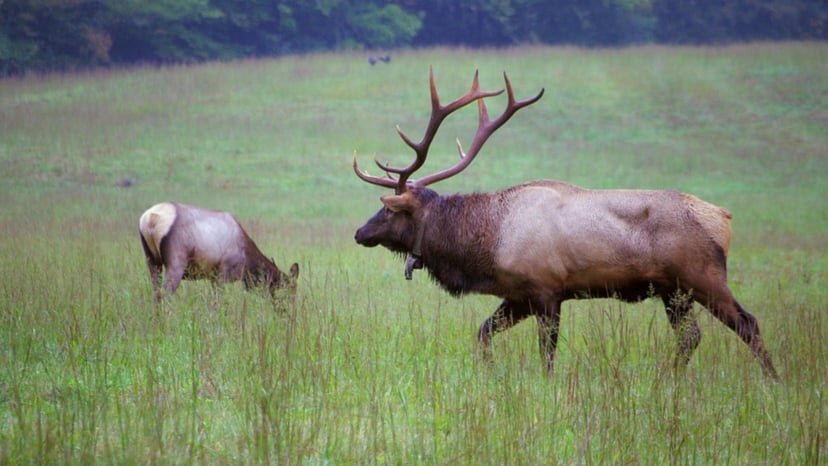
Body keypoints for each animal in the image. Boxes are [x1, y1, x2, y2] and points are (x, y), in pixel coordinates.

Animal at [139, 202, 299, 303]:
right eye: (290, 290)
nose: (289, 313)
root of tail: (151, 219)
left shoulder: (213, 276)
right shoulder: (223, 272)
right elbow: (217, 303)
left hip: (152, 260)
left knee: (155, 293)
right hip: (176, 263)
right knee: (165, 295)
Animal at [353, 68, 779, 379]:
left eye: (387, 211)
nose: (359, 232)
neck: (487, 245)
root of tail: (723, 218)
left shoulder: (546, 291)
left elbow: (547, 354)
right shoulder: (518, 295)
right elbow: (483, 332)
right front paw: (488, 373)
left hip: (703, 277)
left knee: (749, 324)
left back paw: (773, 381)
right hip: (674, 291)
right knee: (691, 337)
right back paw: (670, 379)